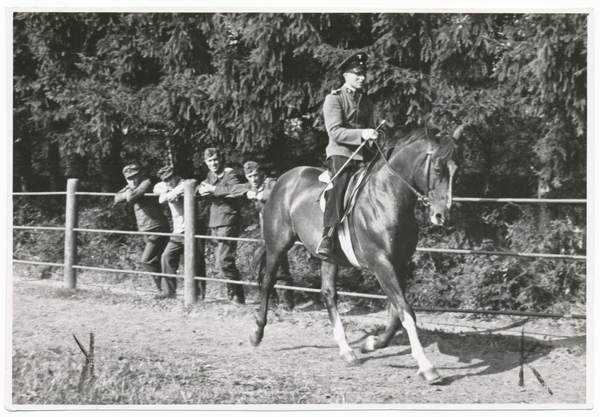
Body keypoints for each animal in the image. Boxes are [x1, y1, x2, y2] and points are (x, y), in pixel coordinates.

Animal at [247, 127, 460, 384]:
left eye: (456, 170)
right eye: (438, 169)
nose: (442, 216)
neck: (387, 197)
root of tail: (283, 178)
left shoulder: (399, 265)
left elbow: (397, 313)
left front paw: (371, 344)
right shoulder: (381, 264)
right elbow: (406, 311)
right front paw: (427, 366)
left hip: (328, 258)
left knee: (328, 294)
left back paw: (347, 351)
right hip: (277, 245)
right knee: (268, 283)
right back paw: (256, 333)